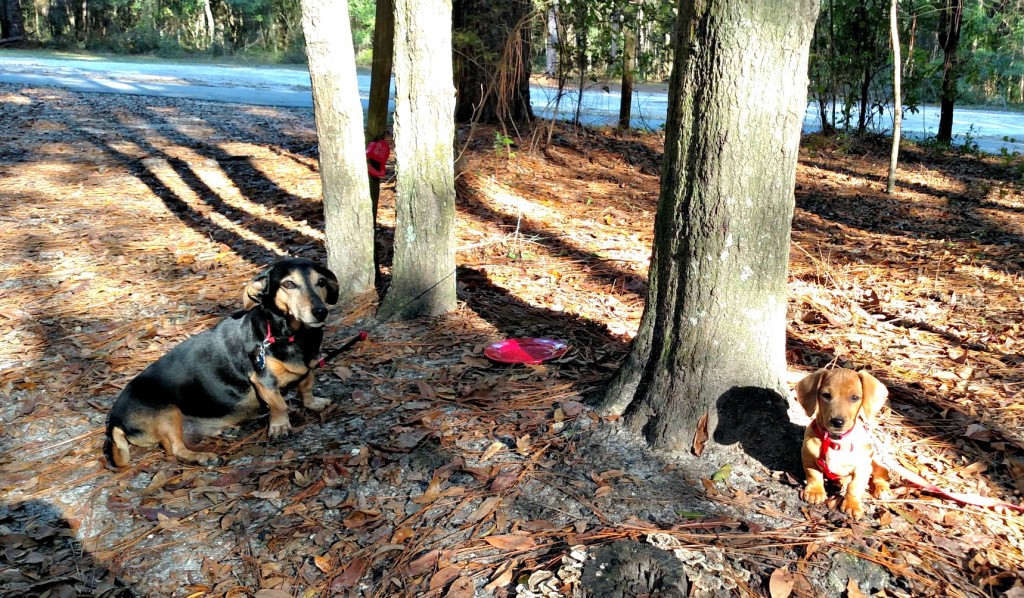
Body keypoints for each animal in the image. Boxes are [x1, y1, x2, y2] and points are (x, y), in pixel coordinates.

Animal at [106, 257, 342, 466]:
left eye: (321, 282)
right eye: (289, 284)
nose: (320, 312)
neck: (291, 335)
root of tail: (115, 420)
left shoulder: (309, 365)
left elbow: (307, 386)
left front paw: (313, 403)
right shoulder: (264, 380)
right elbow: (279, 404)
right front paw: (280, 426)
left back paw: (223, 430)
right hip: (167, 412)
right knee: (176, 450)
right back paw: (203, 457)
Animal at [794, 366, 892, 516]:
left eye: (855, 397)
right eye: (826, 395)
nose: (837, 422)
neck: (836, 440)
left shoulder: (862, 467)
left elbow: (855, 486)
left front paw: (852, 504)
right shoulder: (808, 456)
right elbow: (814, 474)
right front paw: (815, 491)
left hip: (876, 463)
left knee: (881, 476)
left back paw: (882, 490)